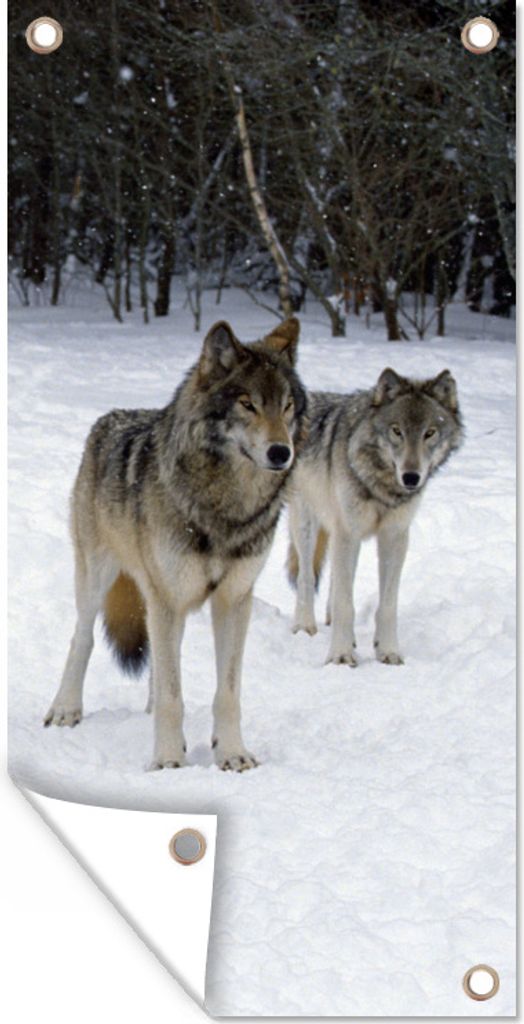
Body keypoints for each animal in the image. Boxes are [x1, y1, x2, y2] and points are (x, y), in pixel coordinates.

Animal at [44, 318, 307, 771]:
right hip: (100, 579)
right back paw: (65, 709)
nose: (281, 452)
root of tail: (109, 419)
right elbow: (172, 695)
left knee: (158, 662)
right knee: (83, 638)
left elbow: (227, 692)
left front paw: (232, 754)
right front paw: (167, 760)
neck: (225, 508)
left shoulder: (234, 599)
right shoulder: (168, 597)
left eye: (287, 406)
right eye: (247, 404)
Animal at [288, 367, 463, 666]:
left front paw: (388, 651)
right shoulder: (348, 532)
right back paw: (304, 626)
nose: (411, 477)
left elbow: (387, 604)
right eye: (397, 431)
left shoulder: (394, 536)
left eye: (430, 433)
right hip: (307, 524)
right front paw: (340, 655)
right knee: (307, 577)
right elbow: (345, 603)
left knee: (335, 580)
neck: (383, 486)